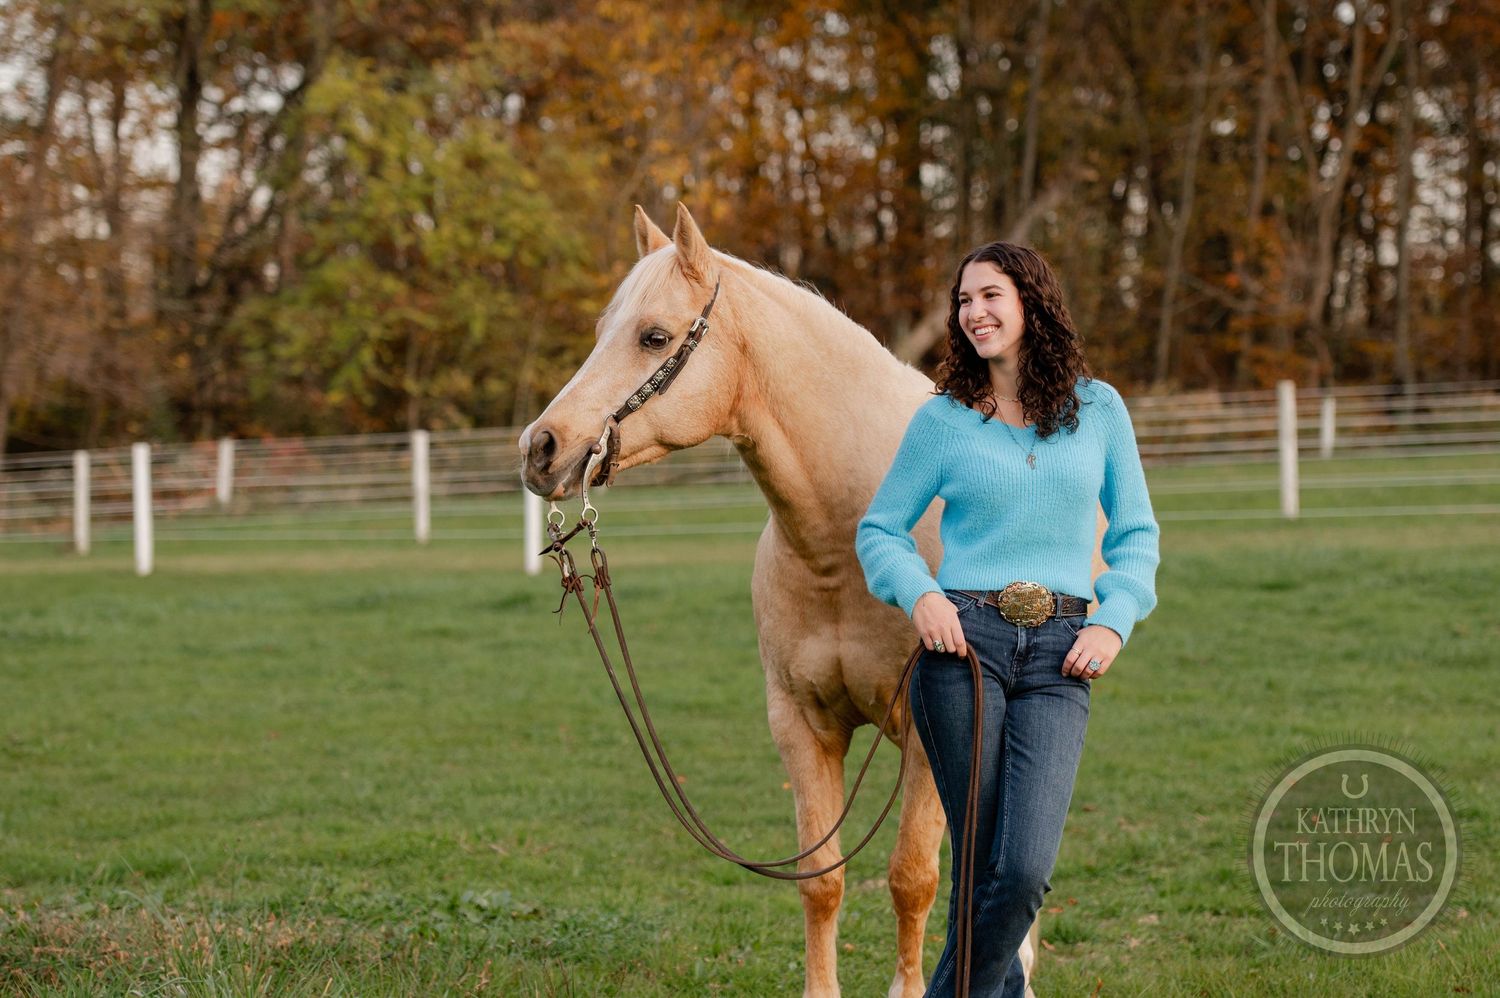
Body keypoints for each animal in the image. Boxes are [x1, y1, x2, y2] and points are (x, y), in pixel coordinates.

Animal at [519, 204, 1047, 998]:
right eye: (603, 330)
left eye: (654, 336)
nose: (540, 448)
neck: (846, 540)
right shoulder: (801, 726)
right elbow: (821, 881)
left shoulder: (932, 734)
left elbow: (913, 880)